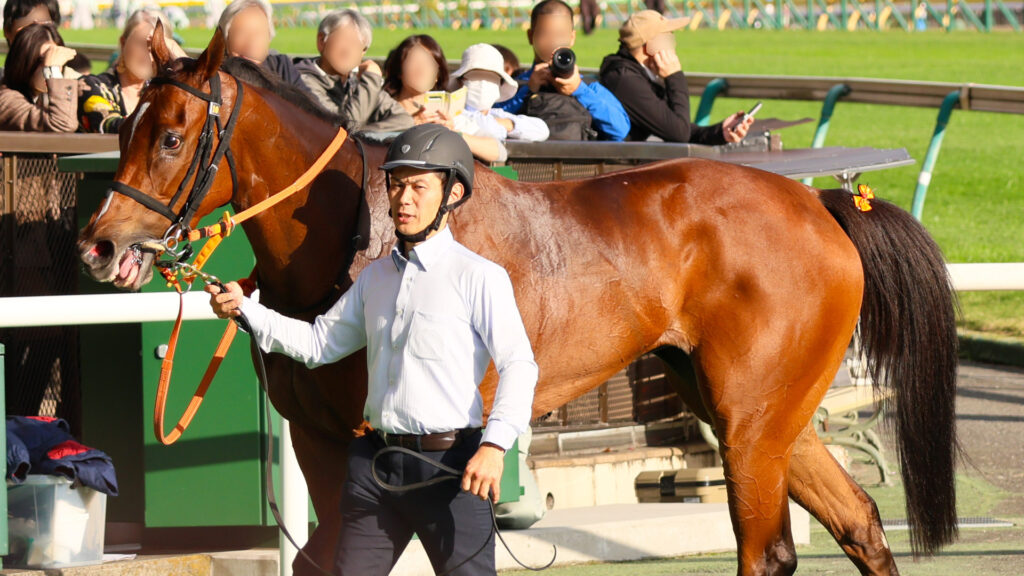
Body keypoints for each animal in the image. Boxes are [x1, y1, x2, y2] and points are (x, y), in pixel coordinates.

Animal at [78, 27, 959, 576]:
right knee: (861, 523)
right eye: (121, 127)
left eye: (172, 136)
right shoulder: (321, 441)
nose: (100, 243)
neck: (364, 231)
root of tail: (820, 205)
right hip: (766, 412)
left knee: (769, 549)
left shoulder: (382, 449)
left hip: (749, 422)